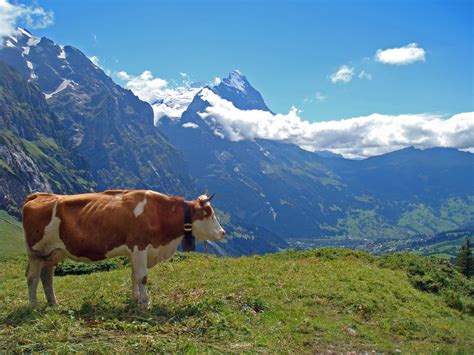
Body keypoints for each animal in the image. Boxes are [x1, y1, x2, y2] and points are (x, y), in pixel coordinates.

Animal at [23, 191, 227, 308]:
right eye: (207, 213)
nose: (222, 232)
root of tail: (38, 195)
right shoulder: (139, 247)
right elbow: (142, 277)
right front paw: (145, 303)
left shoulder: (134, 251)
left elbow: (134, 276)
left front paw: (135, 299)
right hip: (36, 252)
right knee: (32, 277)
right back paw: (33, 306)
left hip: (52, 253)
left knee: (46, 277)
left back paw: (53, 303)